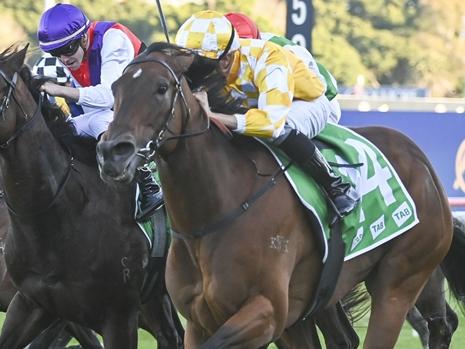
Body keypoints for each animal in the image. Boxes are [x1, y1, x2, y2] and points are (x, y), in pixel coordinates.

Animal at [96, 44, 452, 348]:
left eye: (161, 88)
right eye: (115, 88)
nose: (113, 152)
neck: (215, 214)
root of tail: (419, 158)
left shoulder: (266, 312)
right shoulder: (200, 320)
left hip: (400, 281)